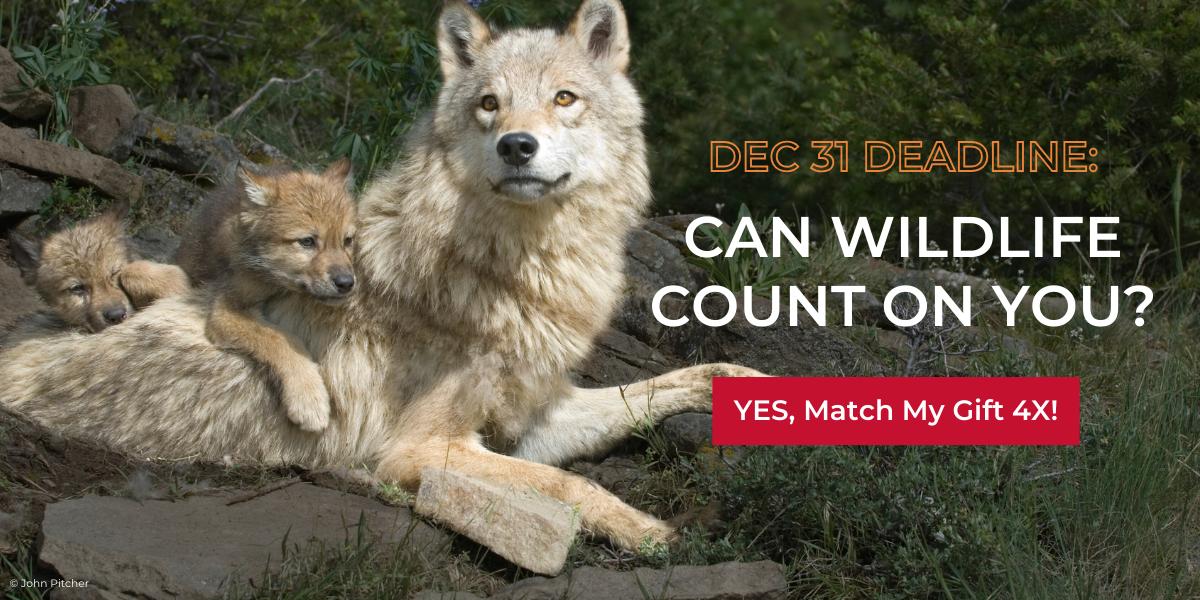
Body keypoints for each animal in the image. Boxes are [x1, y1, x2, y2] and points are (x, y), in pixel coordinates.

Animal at [174, 161, 357, 432]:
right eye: (307, 241)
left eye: (347, 240)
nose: (346, 283)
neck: (273, 279)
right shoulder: (226, 309)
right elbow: (279, 339)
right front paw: (309, 397)